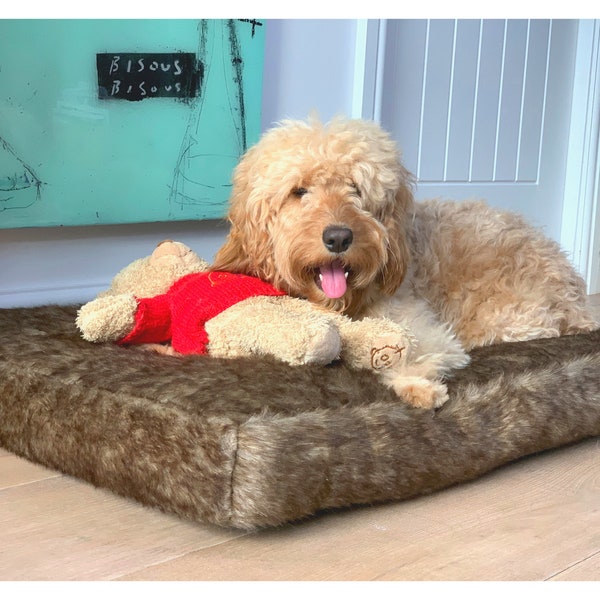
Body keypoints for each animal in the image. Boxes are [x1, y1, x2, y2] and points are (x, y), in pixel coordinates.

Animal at [213, 117, 596, 408]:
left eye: (356, 189)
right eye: (299, 192)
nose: (338, 238)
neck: (346, 303)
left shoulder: (421, 323)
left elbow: (411, 350)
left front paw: (416, 384)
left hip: (513, 319)